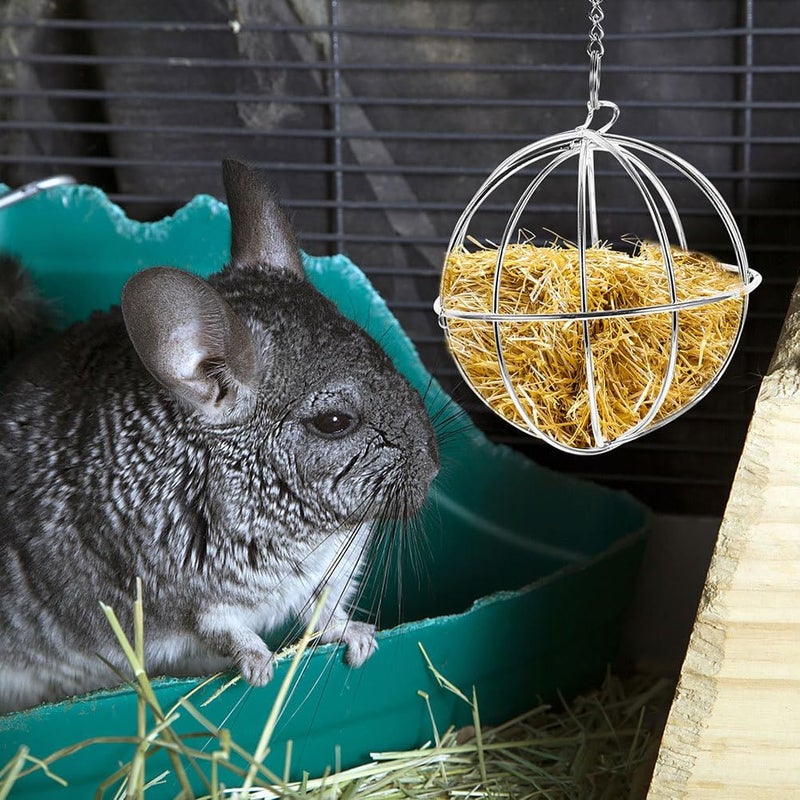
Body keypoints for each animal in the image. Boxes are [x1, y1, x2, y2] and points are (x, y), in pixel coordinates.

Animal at [0, 159, 439, 714]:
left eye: (386, 357)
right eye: (334, 422)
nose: (435, 466)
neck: (307, 531)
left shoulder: (328, 577)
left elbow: (326, 615)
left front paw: (361, 638)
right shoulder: (190, 602)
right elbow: (228, 633)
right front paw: (260, 669)